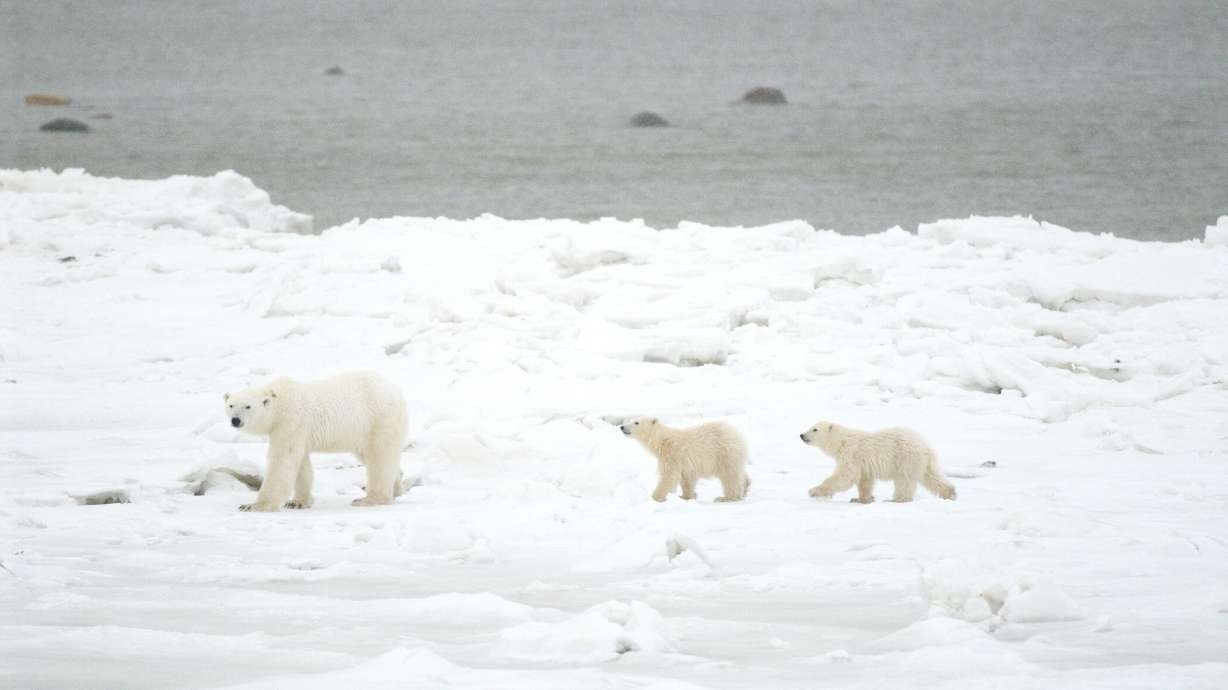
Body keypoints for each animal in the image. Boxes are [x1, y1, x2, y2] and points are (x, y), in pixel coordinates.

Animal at [223, 371, 409, 512]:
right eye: (231, 405)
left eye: (248, 406)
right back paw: (396, 488)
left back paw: (370, 499)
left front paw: (253, 505)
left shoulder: (290, 421)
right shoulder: (298, 431)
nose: (235, 420)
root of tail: (398, 393)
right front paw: (297, 502)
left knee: (380, 457)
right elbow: (301, 463)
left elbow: (283, 460)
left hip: (378, 419)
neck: (281, 402)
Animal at [620, 417, 750, 503]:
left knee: (729, 476)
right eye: (628, 420)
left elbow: (669, 476)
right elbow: (686, 479)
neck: (662, 441)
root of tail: (737, 435)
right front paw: (687, 496)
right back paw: (746, 485)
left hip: (724, 453)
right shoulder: (685, 463)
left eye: (636, 422)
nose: (622, 427)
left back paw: (726, 497)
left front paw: (655, 498)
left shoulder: (672, 455)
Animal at [800, 421, 956, 503]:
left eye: (814, 429)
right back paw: (950, 493)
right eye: (810, 427)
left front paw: (814, 491)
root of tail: (925, 445)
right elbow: (865, 481)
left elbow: (846, 476)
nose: (802, 435)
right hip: (922, 460)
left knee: (904, 480)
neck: (841, 441)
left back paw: (896, 499)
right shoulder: (863, 464)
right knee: (932, 475)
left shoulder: (851, 454)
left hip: (905, 457)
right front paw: (861, 499)